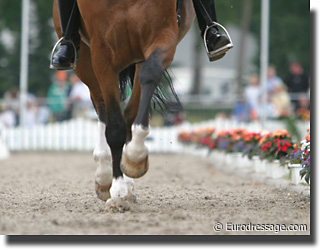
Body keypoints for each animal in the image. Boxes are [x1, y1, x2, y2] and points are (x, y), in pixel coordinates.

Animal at [52, 0, 195, 207]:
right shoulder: (102, 54)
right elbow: (114, 127)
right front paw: (118, 189)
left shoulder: (161, 36)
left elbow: (150, 74)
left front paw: (134, 157)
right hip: (85, 61)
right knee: (102, 106)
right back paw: (105, 176)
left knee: (129, 110)